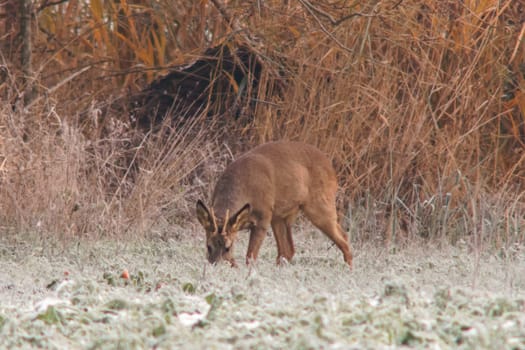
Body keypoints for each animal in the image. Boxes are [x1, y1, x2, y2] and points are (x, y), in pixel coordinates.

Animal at [193, 141, 352, 270]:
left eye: (227, 247)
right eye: (208, 246)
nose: (216, 266)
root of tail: (331, 167)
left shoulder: (263, 218)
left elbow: (250, 256)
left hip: (319, 204)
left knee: (343, 238)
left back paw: (349, 270)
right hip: (280, 215)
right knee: (287, 251)